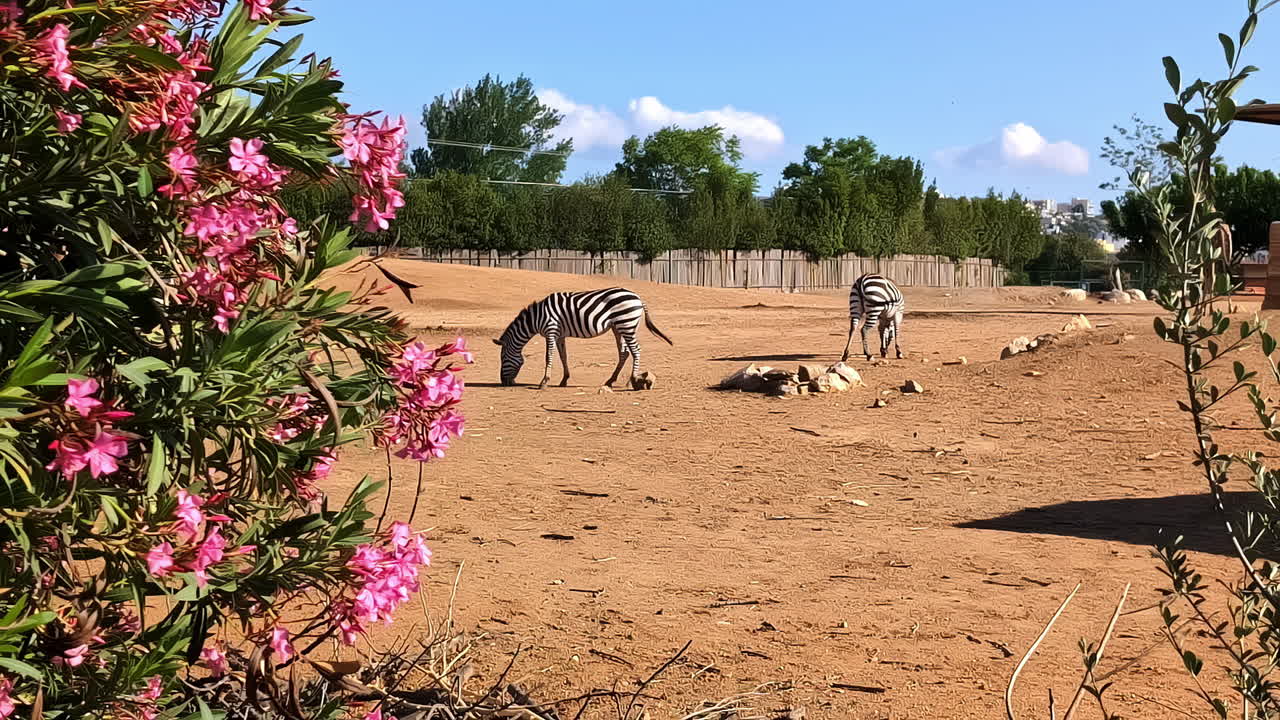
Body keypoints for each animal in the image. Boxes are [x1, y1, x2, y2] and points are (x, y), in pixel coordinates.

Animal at [492, 287, 673, 389]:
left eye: (503, 358)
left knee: (635, 350)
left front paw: (544, 382)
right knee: (624, 352)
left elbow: (548, 357)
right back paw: (610, 380)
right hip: (618, 327)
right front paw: (564, 380)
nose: (503, 382)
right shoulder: (559, 334)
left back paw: (632, 380)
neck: (536, 318)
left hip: (626, 324)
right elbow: (563, 356)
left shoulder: (551, 330)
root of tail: (637, 297)